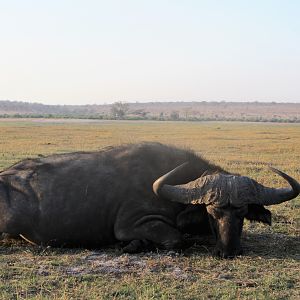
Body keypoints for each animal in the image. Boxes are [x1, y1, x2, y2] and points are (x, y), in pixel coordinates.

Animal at [0, 143, 298, 258]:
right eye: (212, 212)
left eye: (242, 213)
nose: (228, 250)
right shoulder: (133, 223)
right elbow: (177, 239)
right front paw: (132, 245)